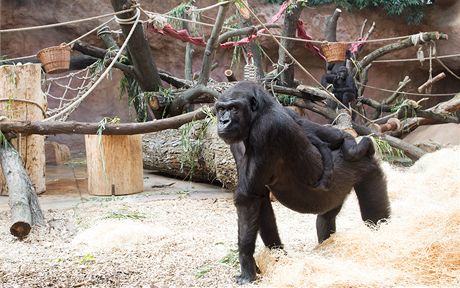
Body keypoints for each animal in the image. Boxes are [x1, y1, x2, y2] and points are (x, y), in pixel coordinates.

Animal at [214, 80, 390, 284]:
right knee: (326, 218)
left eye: (234, 108)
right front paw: (277, 256)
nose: (223, 121)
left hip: (367, 169)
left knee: (375, 218)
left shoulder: (266, 129)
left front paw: (247, 265)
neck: (259, 113)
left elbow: (247, 198)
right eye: (221, 109)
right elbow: (260, 200)